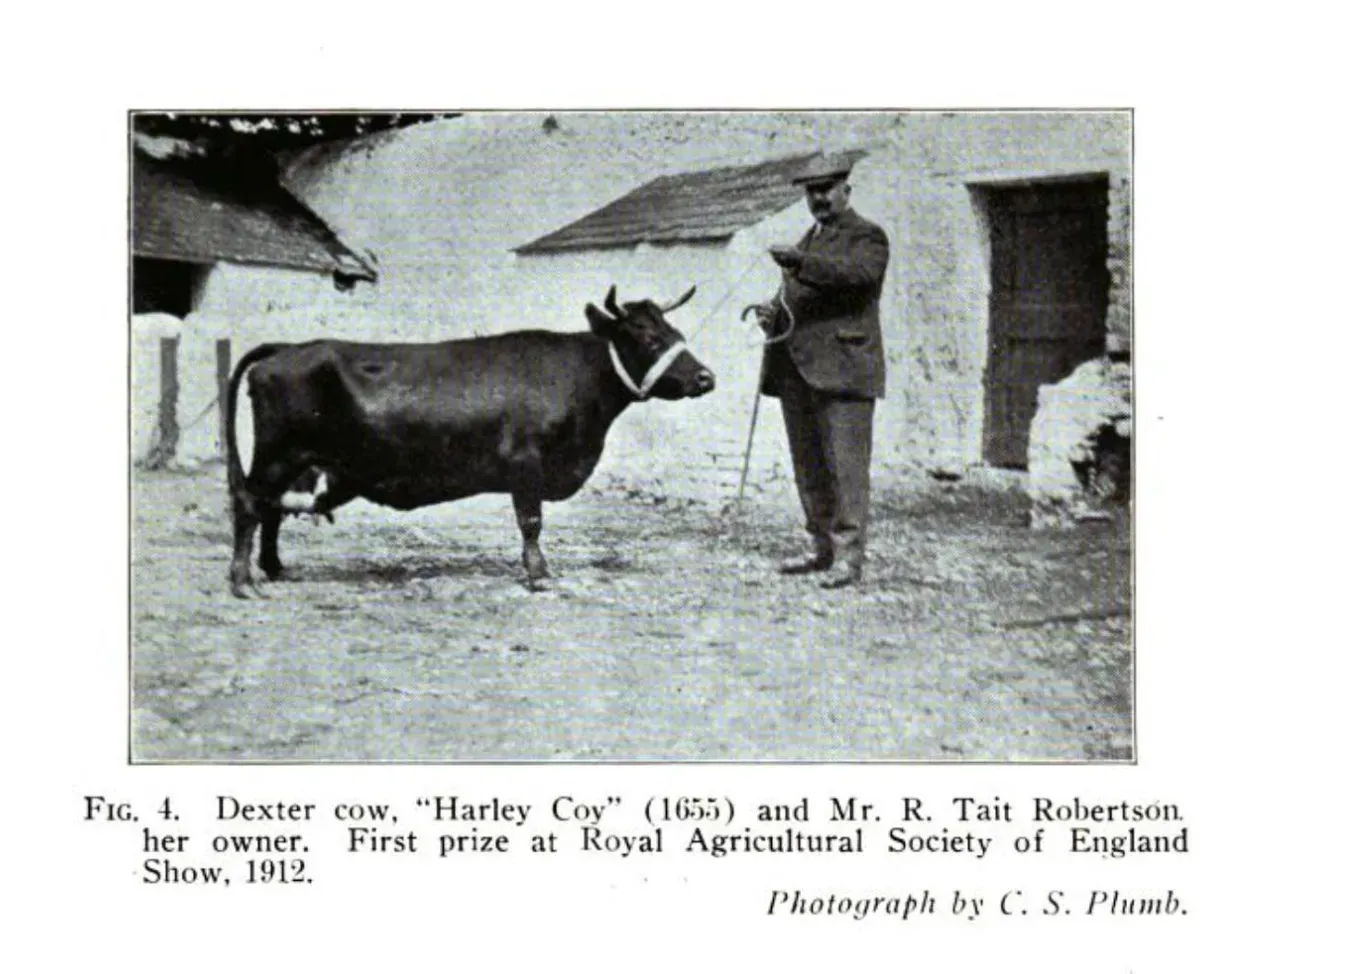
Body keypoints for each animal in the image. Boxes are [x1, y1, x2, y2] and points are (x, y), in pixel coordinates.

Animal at [225, 285, 715, 597]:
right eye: (648, 337)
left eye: (675, 333)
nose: (706, 377)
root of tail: (288, 348)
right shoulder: (526, 463)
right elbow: (531, 522)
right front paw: (539, 575)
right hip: (277, 454)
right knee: (250, 504)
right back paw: (243, 582)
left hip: (290, 459)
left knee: (271, 509)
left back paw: (274, 569)